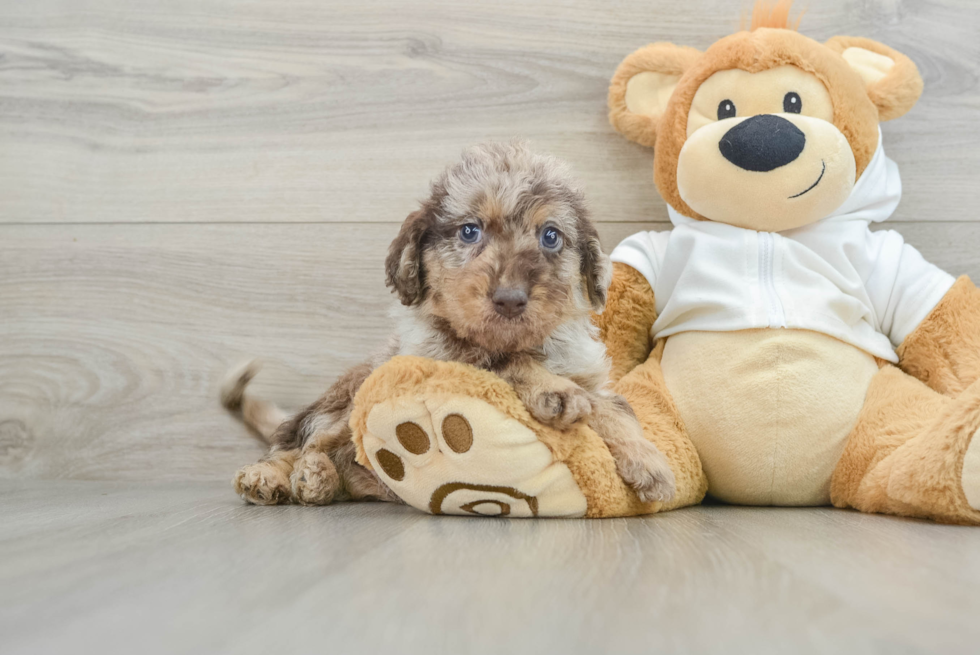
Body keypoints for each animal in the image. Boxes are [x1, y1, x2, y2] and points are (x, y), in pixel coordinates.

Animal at [226, 142, 676, 508]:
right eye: (469, 231)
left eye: (550, 236)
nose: (510, 298)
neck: (522, 342)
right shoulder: (445, 358)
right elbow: (505, 364)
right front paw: (555, 390)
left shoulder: (592, 377)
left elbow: (615, 410)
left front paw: (649, 461)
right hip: (350, 396)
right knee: (301, 442)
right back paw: (279, 474)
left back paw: (321, 479)